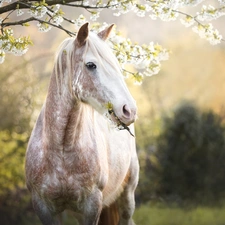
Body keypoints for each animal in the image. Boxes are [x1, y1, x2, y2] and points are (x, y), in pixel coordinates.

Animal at [25, 22, 139, 225]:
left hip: (127, 196)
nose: (129, 110)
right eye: (91, 65)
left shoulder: (91, 206)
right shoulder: (43, 207)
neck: (61, 150)